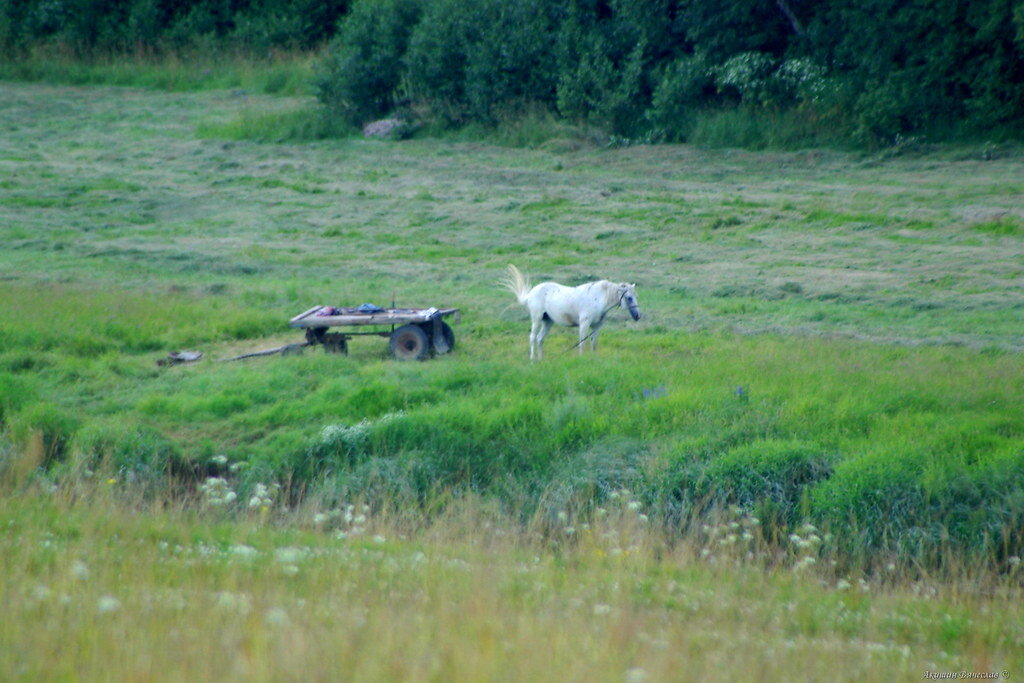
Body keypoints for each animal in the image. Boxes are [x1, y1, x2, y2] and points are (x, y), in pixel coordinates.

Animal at [503, 264, 638, 360]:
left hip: (548, 321)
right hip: (536, 319)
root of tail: (530, 293)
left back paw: (540, 360)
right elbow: (582, 342)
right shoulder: (584, 323)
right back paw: (532, 360)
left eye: (636, 296)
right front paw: (581, 358)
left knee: (540, 338)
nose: (637, 316)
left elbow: (594, 342)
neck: (599, 298)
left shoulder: (596, 325)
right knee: (532, 337)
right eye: (629, 298)